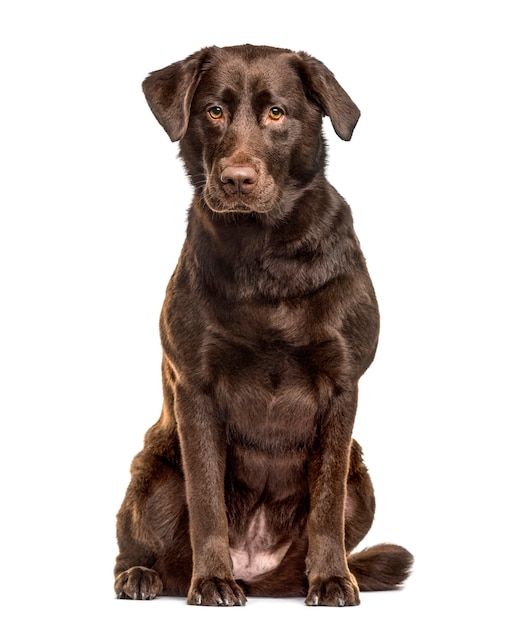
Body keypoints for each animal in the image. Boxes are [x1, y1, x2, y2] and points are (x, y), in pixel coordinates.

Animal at [114, 44, 414, 604]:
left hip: (362, 483)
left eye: (277, 113)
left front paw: (333, 579)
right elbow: (206, 499)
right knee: (143, 551)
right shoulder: (196, 390)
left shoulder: (342, 388)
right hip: (154, 473)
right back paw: (145, 576)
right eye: (214, 111)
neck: (266, 253)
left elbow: (326, 505)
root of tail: (257, 572)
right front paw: (211, 580)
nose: (236, 179)